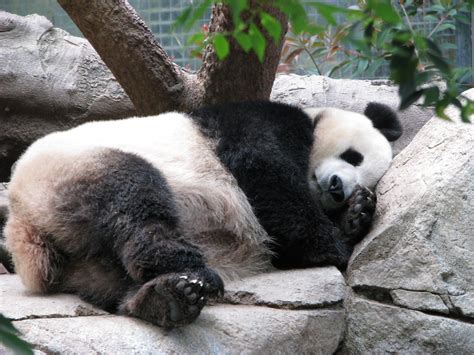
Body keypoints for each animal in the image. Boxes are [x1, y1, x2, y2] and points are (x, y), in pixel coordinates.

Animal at [5, 100, 402, 328]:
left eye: (365, 177)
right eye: (354, 156)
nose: (338, 189)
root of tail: (26, 226)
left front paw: (357, 213)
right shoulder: (260, 122)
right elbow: (266, 174)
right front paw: (336, 245)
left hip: (79, 255)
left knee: (108, 280)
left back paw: (166, 298)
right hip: (74, 169)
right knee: (134, 198)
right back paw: (191, 272)